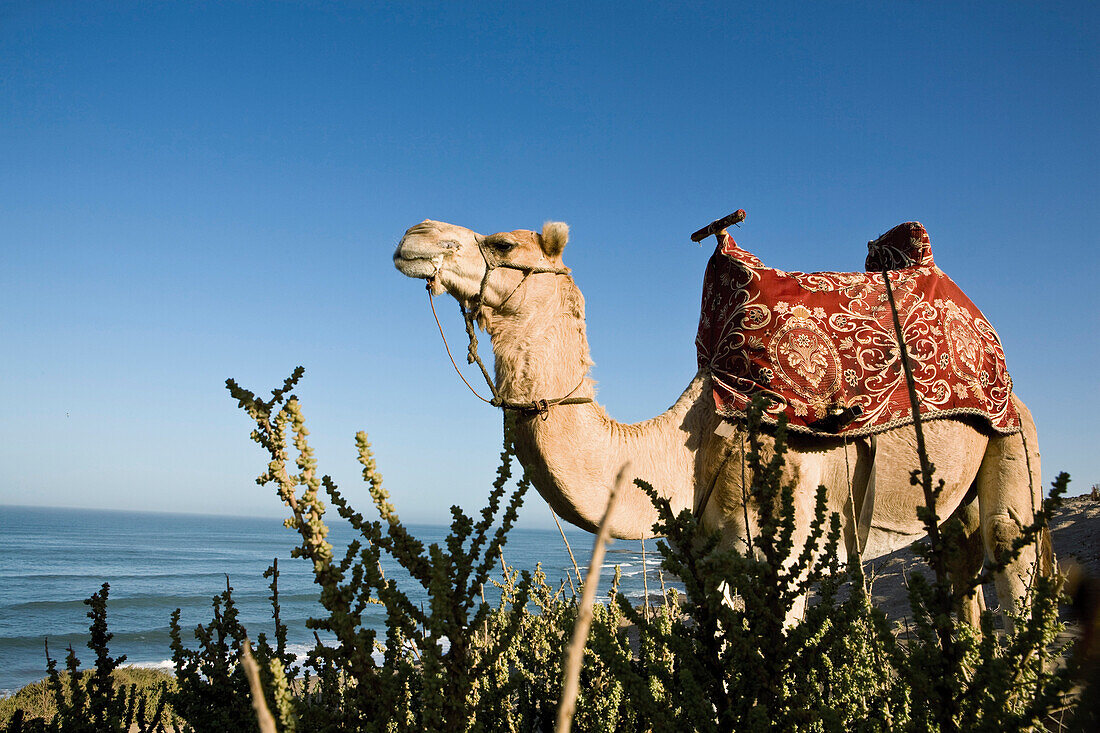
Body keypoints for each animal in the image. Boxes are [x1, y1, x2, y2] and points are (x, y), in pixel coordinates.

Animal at [391, 216, 1042, 620]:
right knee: (960, 572)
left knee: (1010, 558)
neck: (687, 443)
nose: (414, 235)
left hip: (1013, 441)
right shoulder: (713, 570)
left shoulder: (786, 563)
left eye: (502, 244)